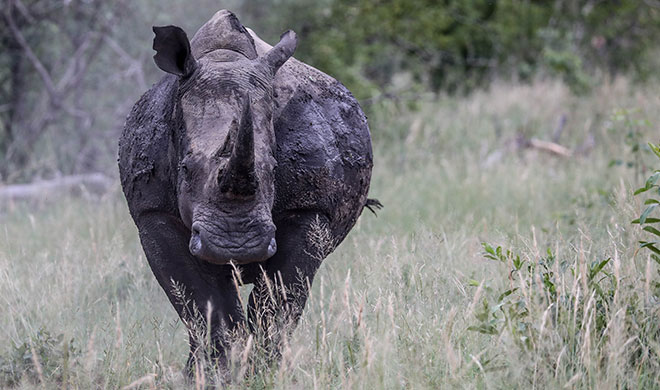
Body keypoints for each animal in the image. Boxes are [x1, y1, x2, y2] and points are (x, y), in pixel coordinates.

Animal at [118, 9, 376, 372]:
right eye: (185, 169)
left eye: (275, 168)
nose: (236, 246)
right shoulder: (153, 211)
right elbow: (201, 302)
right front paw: (214, 373)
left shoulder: (309, 210)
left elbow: (278, 302)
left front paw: (265, 372)